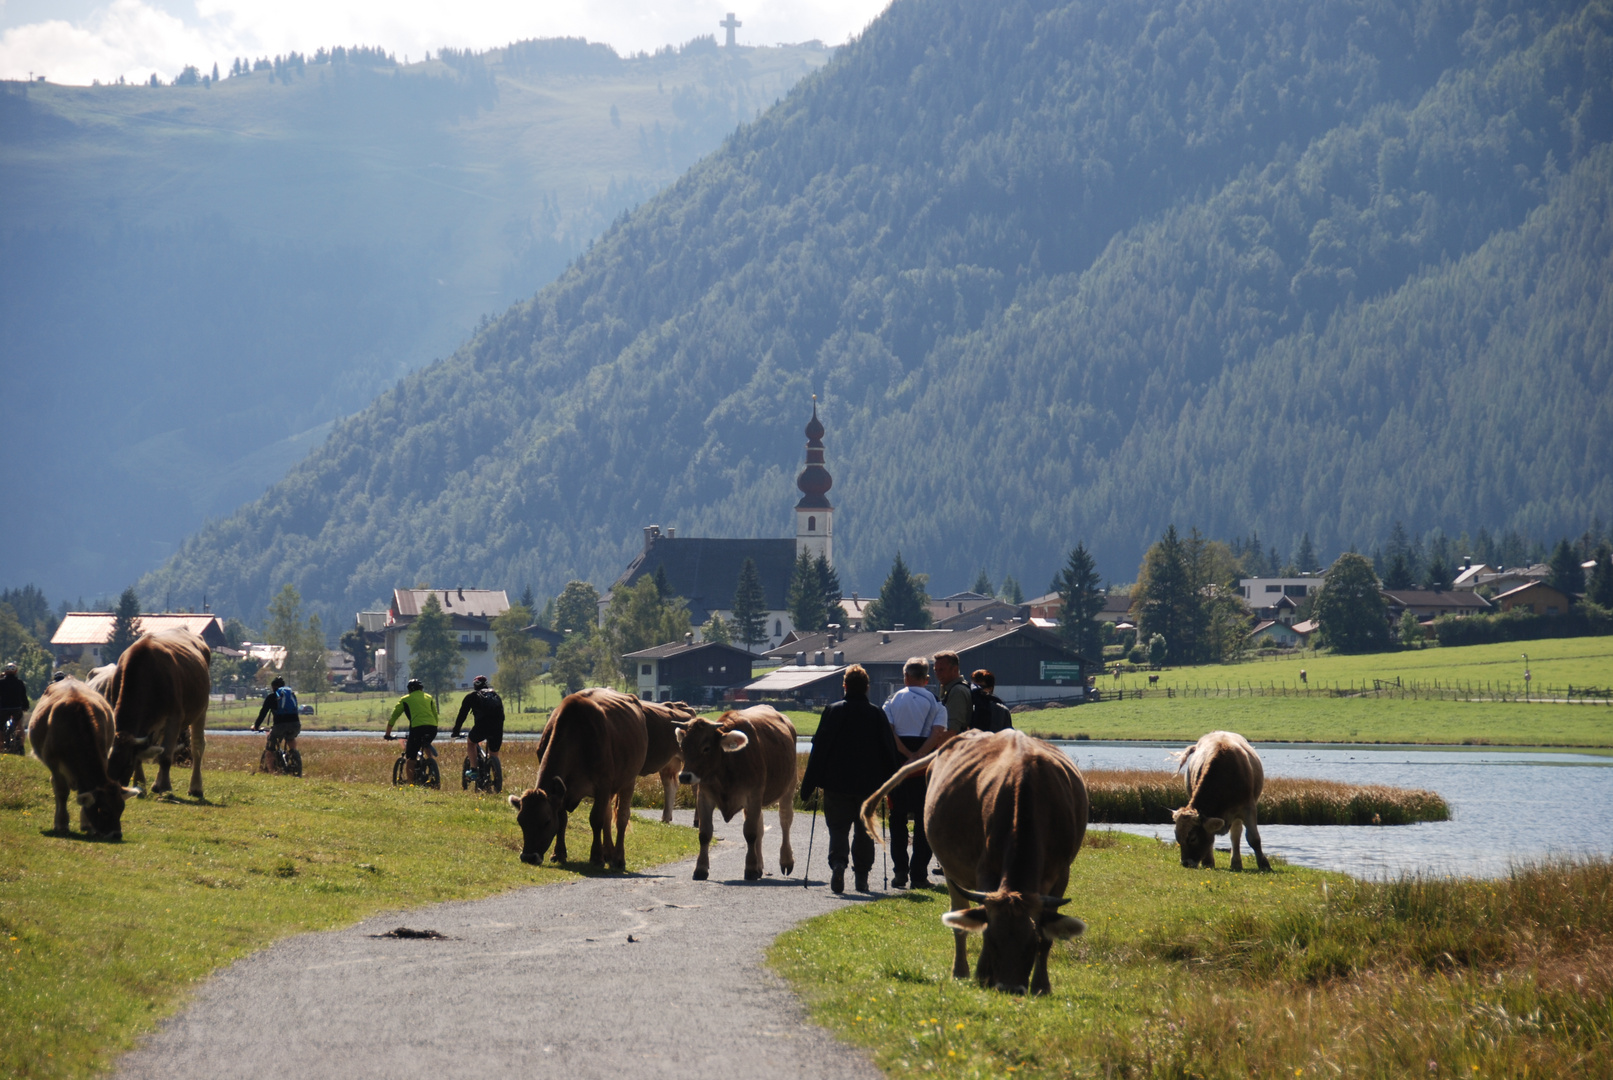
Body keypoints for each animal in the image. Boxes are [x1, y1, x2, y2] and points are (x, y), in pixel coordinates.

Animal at [27, 680, 139, 844]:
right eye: (103, 811)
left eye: (121, 809)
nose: (116, 835)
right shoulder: (54, 764)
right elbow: (62, 792)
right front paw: (61, 824)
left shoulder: (104, 754)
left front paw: (88, 825)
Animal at [105, 631, 211, 799]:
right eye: (106, 765)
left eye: (127, 763)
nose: (115, 791)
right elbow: (143, 755)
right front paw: (140, 787)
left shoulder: (174, 717)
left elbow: (165, 757)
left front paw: (166, 789)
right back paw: (156, 785)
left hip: (201, 708)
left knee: (197, 746)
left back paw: (195, 788)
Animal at [509, 693, 648, 870]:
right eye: (520, 821)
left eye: (546, 821)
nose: (528, 857)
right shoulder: (562, 791)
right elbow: (563, 820)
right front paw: (559, 854)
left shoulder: (603, 785)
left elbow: (596, 819)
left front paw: (596, 857)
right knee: (608, 815)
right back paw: (608, 854)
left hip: (629, 780)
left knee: (622, 817)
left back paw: (618, 858)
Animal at [667, 706, 793, 883]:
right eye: (683, 747)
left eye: (706, 748)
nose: (685, 776)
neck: (726, 769)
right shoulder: (704, 796)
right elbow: (705, 833)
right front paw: (700, 869)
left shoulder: (753, 796)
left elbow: (750, 833)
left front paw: (751, 869)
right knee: (761, 826)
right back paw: (760, 866)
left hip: (788, 787)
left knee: (785, 821)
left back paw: (786, 861)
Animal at [1174, 731, 1271, 876]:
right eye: (1177, 837)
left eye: (1193, 838)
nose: (1186, 863)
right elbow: (1211, 836)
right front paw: (1208, 862)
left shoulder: (1248, 808)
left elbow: (1254, 839)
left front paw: (1264, 865)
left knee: (1236, 834)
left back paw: (1236, 863)